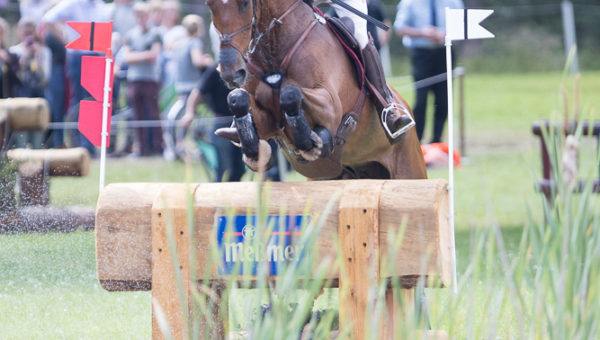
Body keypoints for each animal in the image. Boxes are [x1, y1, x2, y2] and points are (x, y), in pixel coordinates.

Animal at [206, 0, 426, 181]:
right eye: (209, 5)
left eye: (244, 3)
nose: (231, 72)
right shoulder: (267, 120)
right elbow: (238, 98)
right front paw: (254, 149)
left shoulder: (331, 106)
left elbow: (289, 93)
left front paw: (311, 141)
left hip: (409, 169)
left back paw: (395, 119)